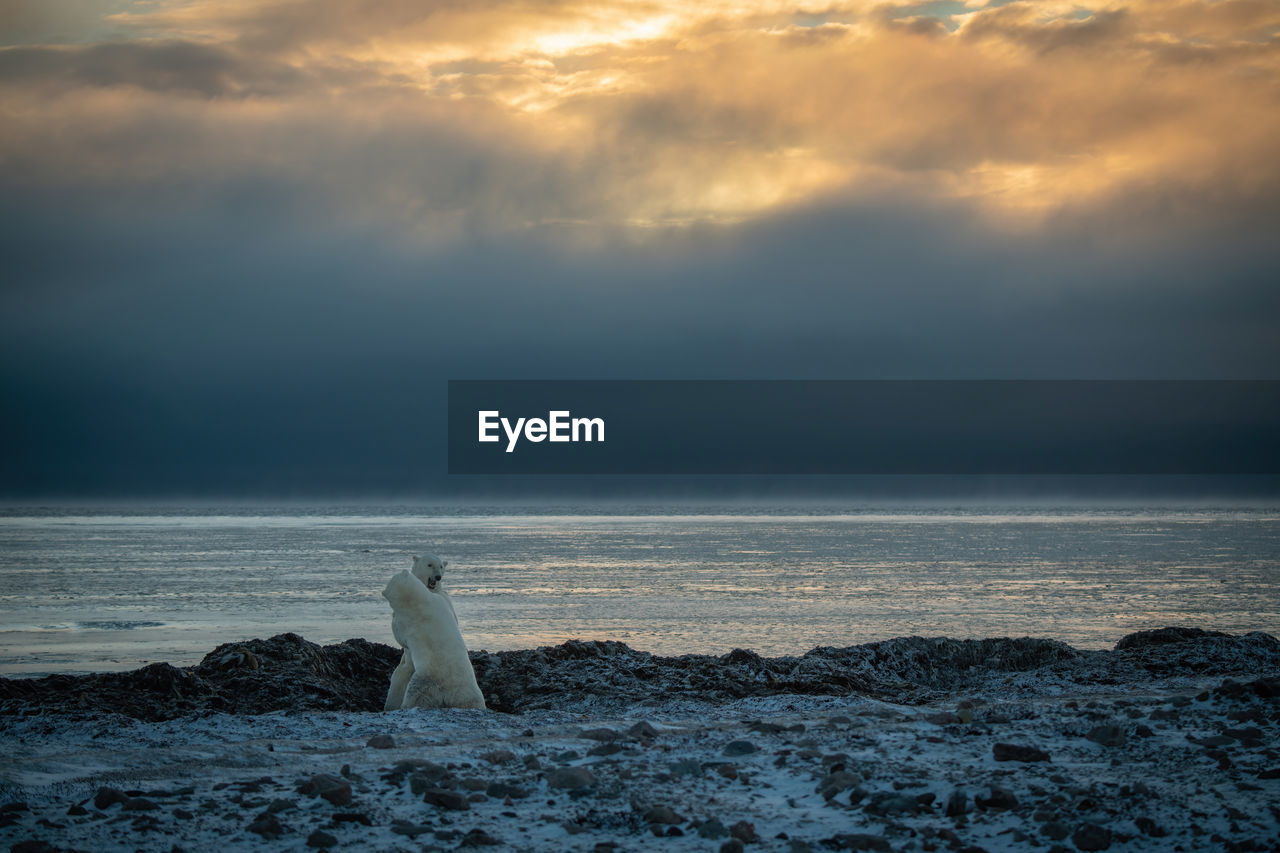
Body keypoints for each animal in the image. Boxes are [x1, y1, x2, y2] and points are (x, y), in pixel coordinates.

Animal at [378, 550, 483, 712]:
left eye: (441, 566)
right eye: (429, 565)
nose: (438, 577)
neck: (419, 602)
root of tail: (448, 694)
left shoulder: (403, 622)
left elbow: (401, 638)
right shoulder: (441, 603)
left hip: (424, 685)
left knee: (414, 694)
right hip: (468, 693)